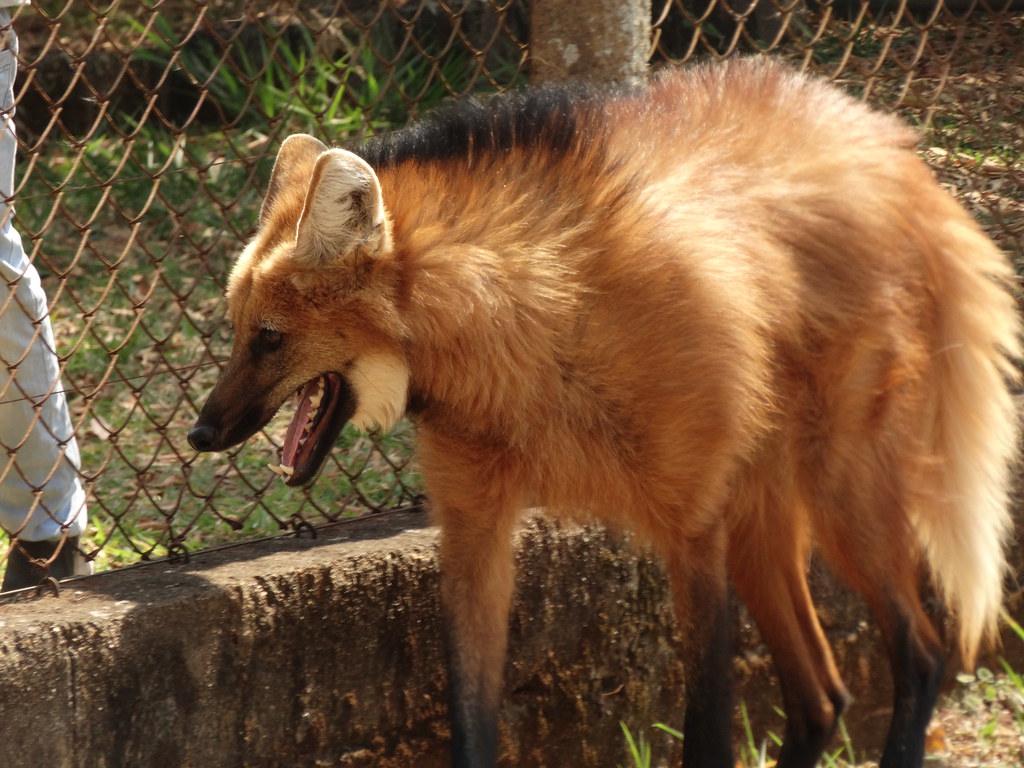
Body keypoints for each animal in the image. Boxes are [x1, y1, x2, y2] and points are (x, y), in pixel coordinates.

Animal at [188, 58, 1019, 768]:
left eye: (269, 338)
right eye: (235, 328)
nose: (201, 432)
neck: (522, 336)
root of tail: (893, 148)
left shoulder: (693, 529)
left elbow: (707, 727)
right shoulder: (475, 527)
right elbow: (471, 715)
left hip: (838, 485)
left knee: (921, 651)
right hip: (762, 512)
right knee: (821, 693)